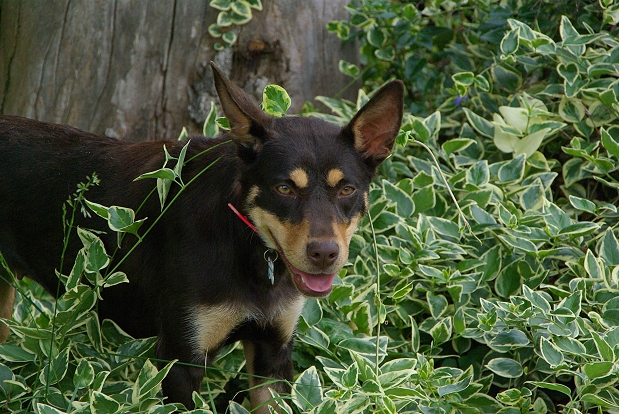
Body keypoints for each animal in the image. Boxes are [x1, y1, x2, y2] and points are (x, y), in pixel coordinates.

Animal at [0, 63, 404, 412]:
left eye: (347, 189)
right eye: (284, 188)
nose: (324, 254)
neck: (247, 247)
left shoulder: (273, 355)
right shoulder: (181, 361)